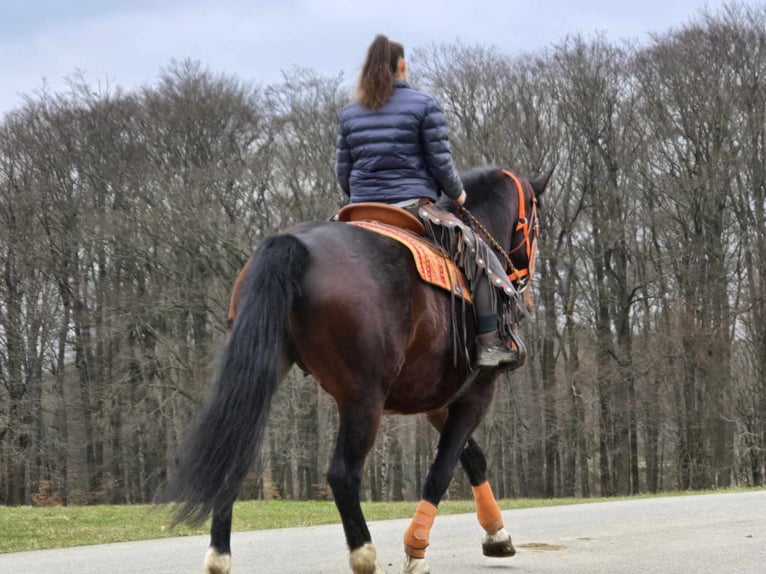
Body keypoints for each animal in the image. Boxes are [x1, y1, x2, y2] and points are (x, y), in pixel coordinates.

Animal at [165, 164, 552, 572]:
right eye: (536, 223)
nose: (524, 287)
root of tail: (294, 245)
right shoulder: (477, 392)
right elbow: (442, 469)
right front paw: (416, 550)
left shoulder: (439, 403)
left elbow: (472, 458)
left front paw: (497, 535)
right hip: (363, 398)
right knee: (343, 474)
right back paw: (364, 554)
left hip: (261, 374)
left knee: (232, 457)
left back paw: (219, 555)